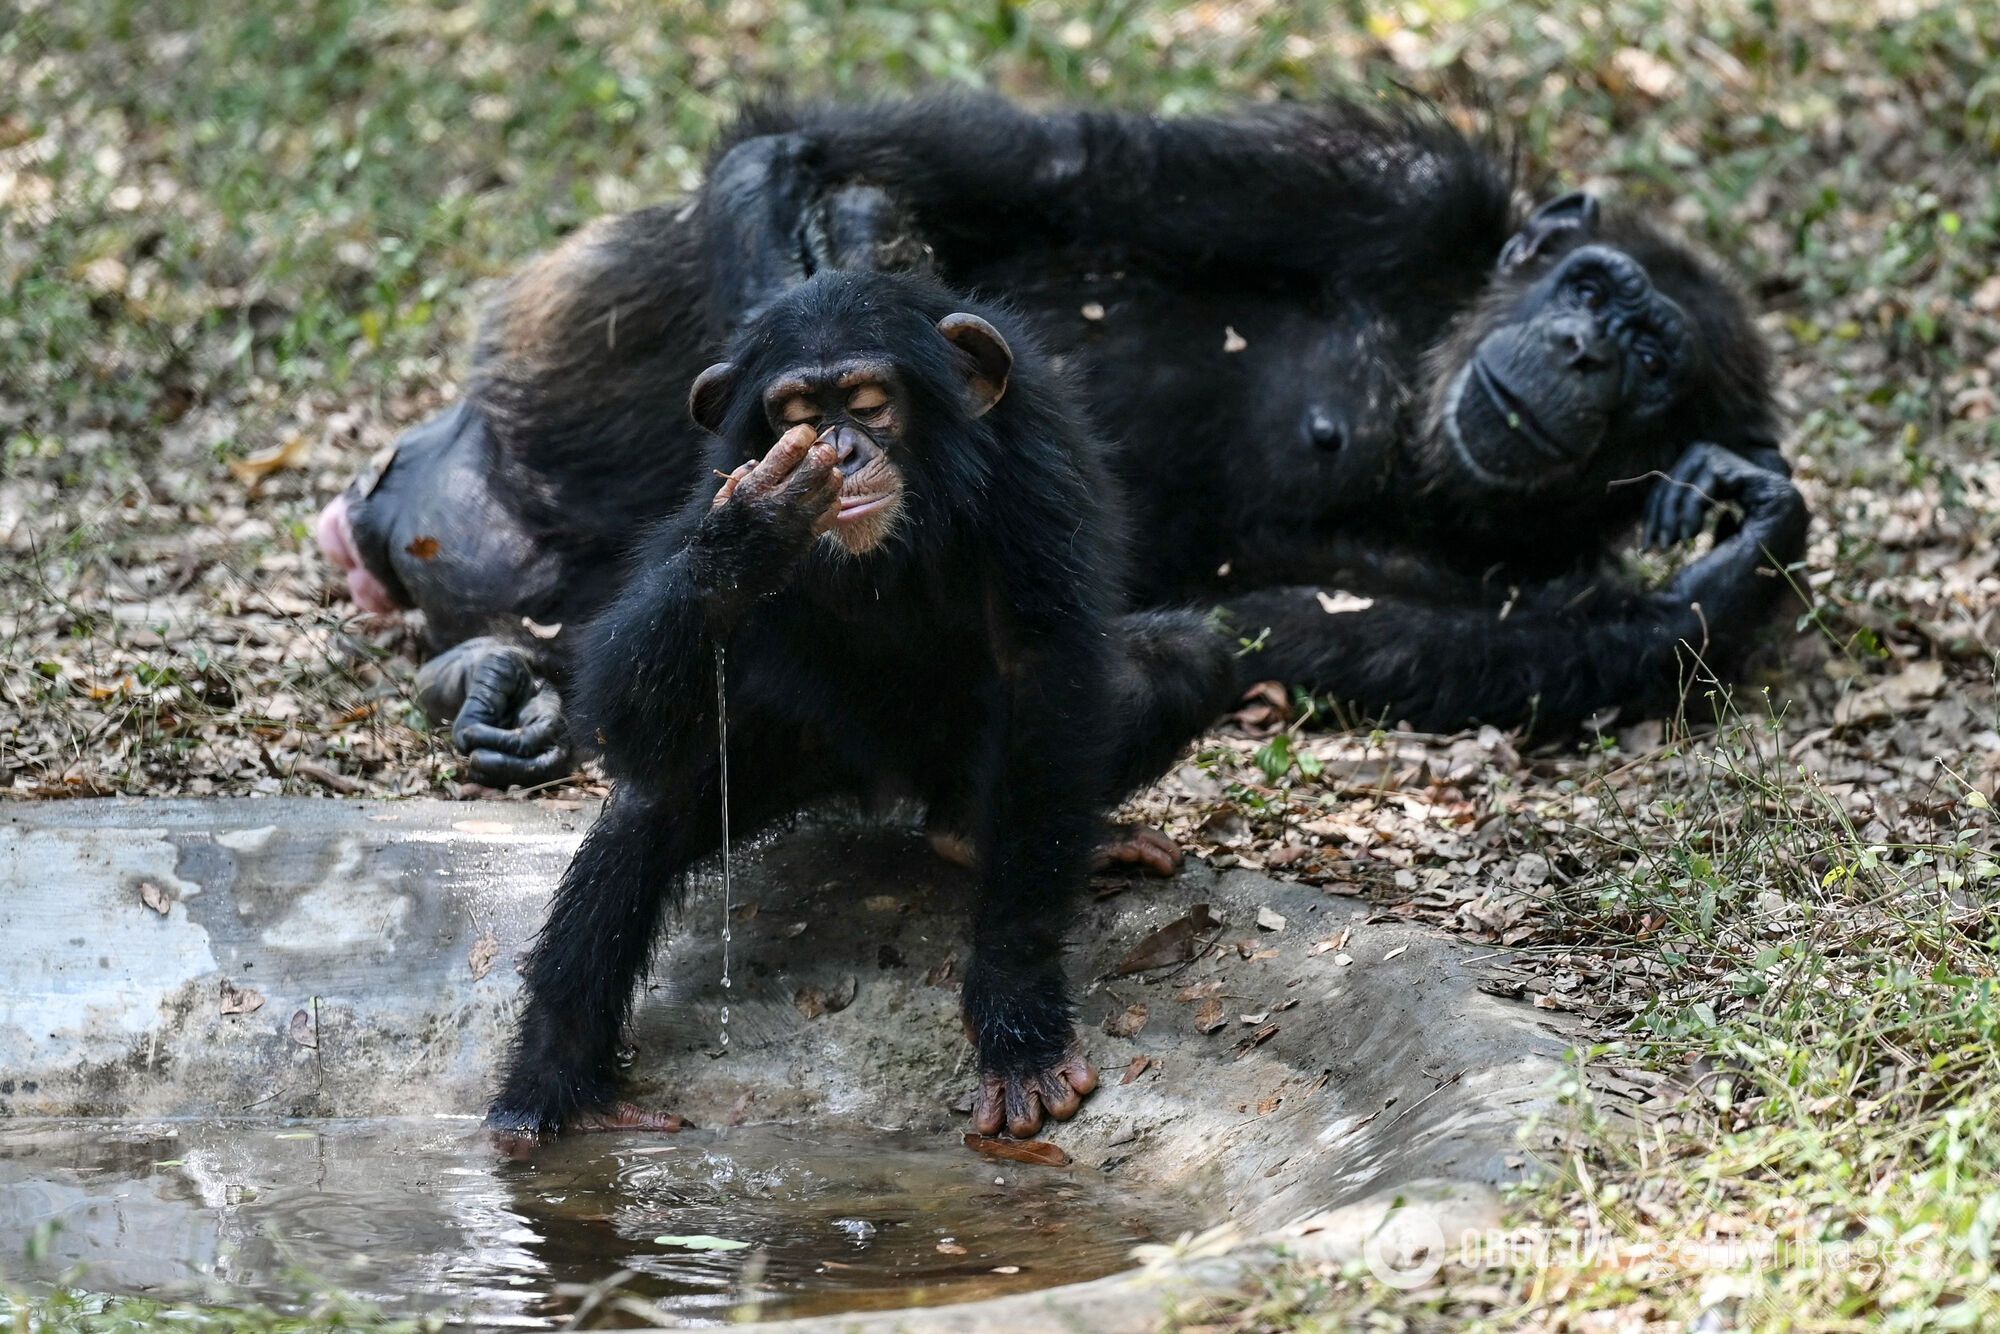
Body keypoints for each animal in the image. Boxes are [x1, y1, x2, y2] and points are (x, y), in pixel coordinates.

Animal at [316, 91, 1816, 792]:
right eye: (1595, 292)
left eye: (1654, 369)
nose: (1589, 355)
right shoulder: (1390, 190)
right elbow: (1019, 167)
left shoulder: (1492, 575)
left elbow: (1353, 632)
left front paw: (1736, 551)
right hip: (562, 336)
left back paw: (510, 676)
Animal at [488, 274, 1232, 1152]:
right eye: (797, 415)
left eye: (871, 402)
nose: (839, 449)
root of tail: (890, 785)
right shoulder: (713, 482)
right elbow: (614, 705)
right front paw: (756, 527)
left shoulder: (1036, 468)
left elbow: (1047, 681)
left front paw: (1018, 1024)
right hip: (794, 750)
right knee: (648, 806)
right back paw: (555, 1089)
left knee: (1184, 661)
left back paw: (977, 831)